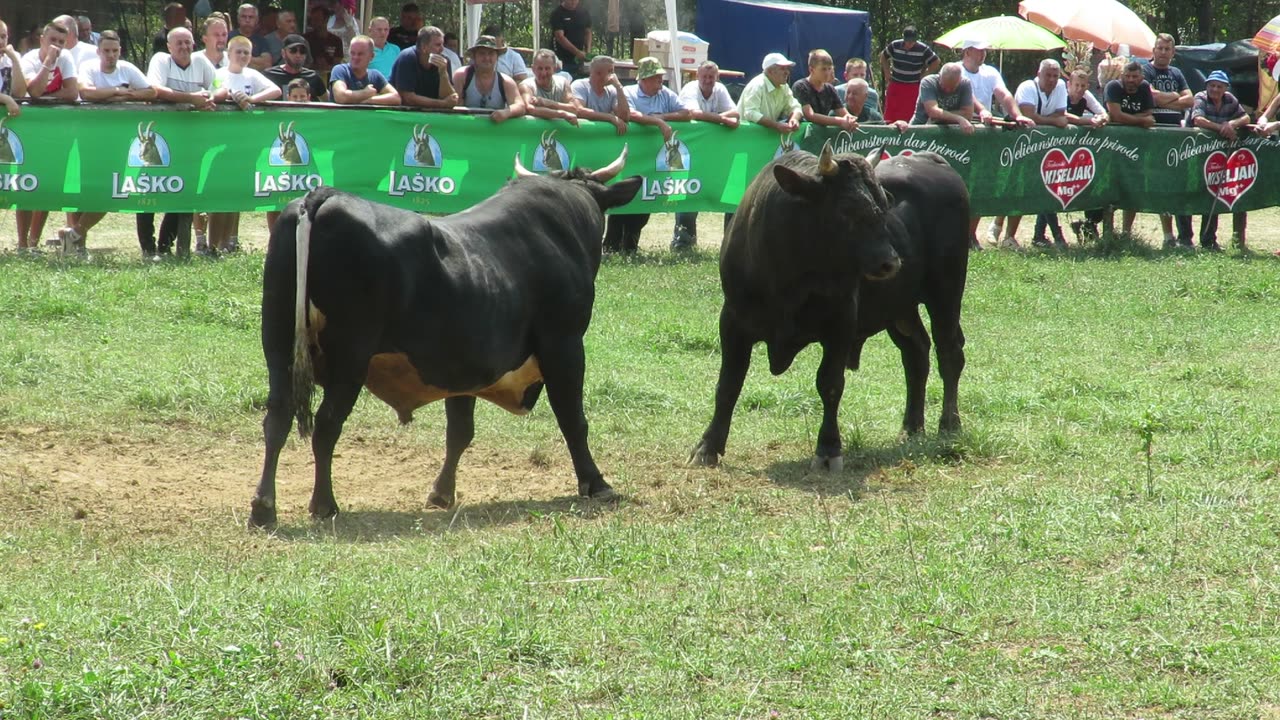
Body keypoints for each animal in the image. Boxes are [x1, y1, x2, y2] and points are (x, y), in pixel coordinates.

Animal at [250, 148, 645, 527]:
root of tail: (322, 196)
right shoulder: (563, 342)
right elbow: (572, 418)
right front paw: (597, 483)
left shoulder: (464, 363)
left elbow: (460, 430)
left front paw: (442, 493)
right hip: (350, 354)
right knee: (327, 425)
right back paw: (323, 504)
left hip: (278, 343)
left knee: (277, 418)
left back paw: (263, 507)